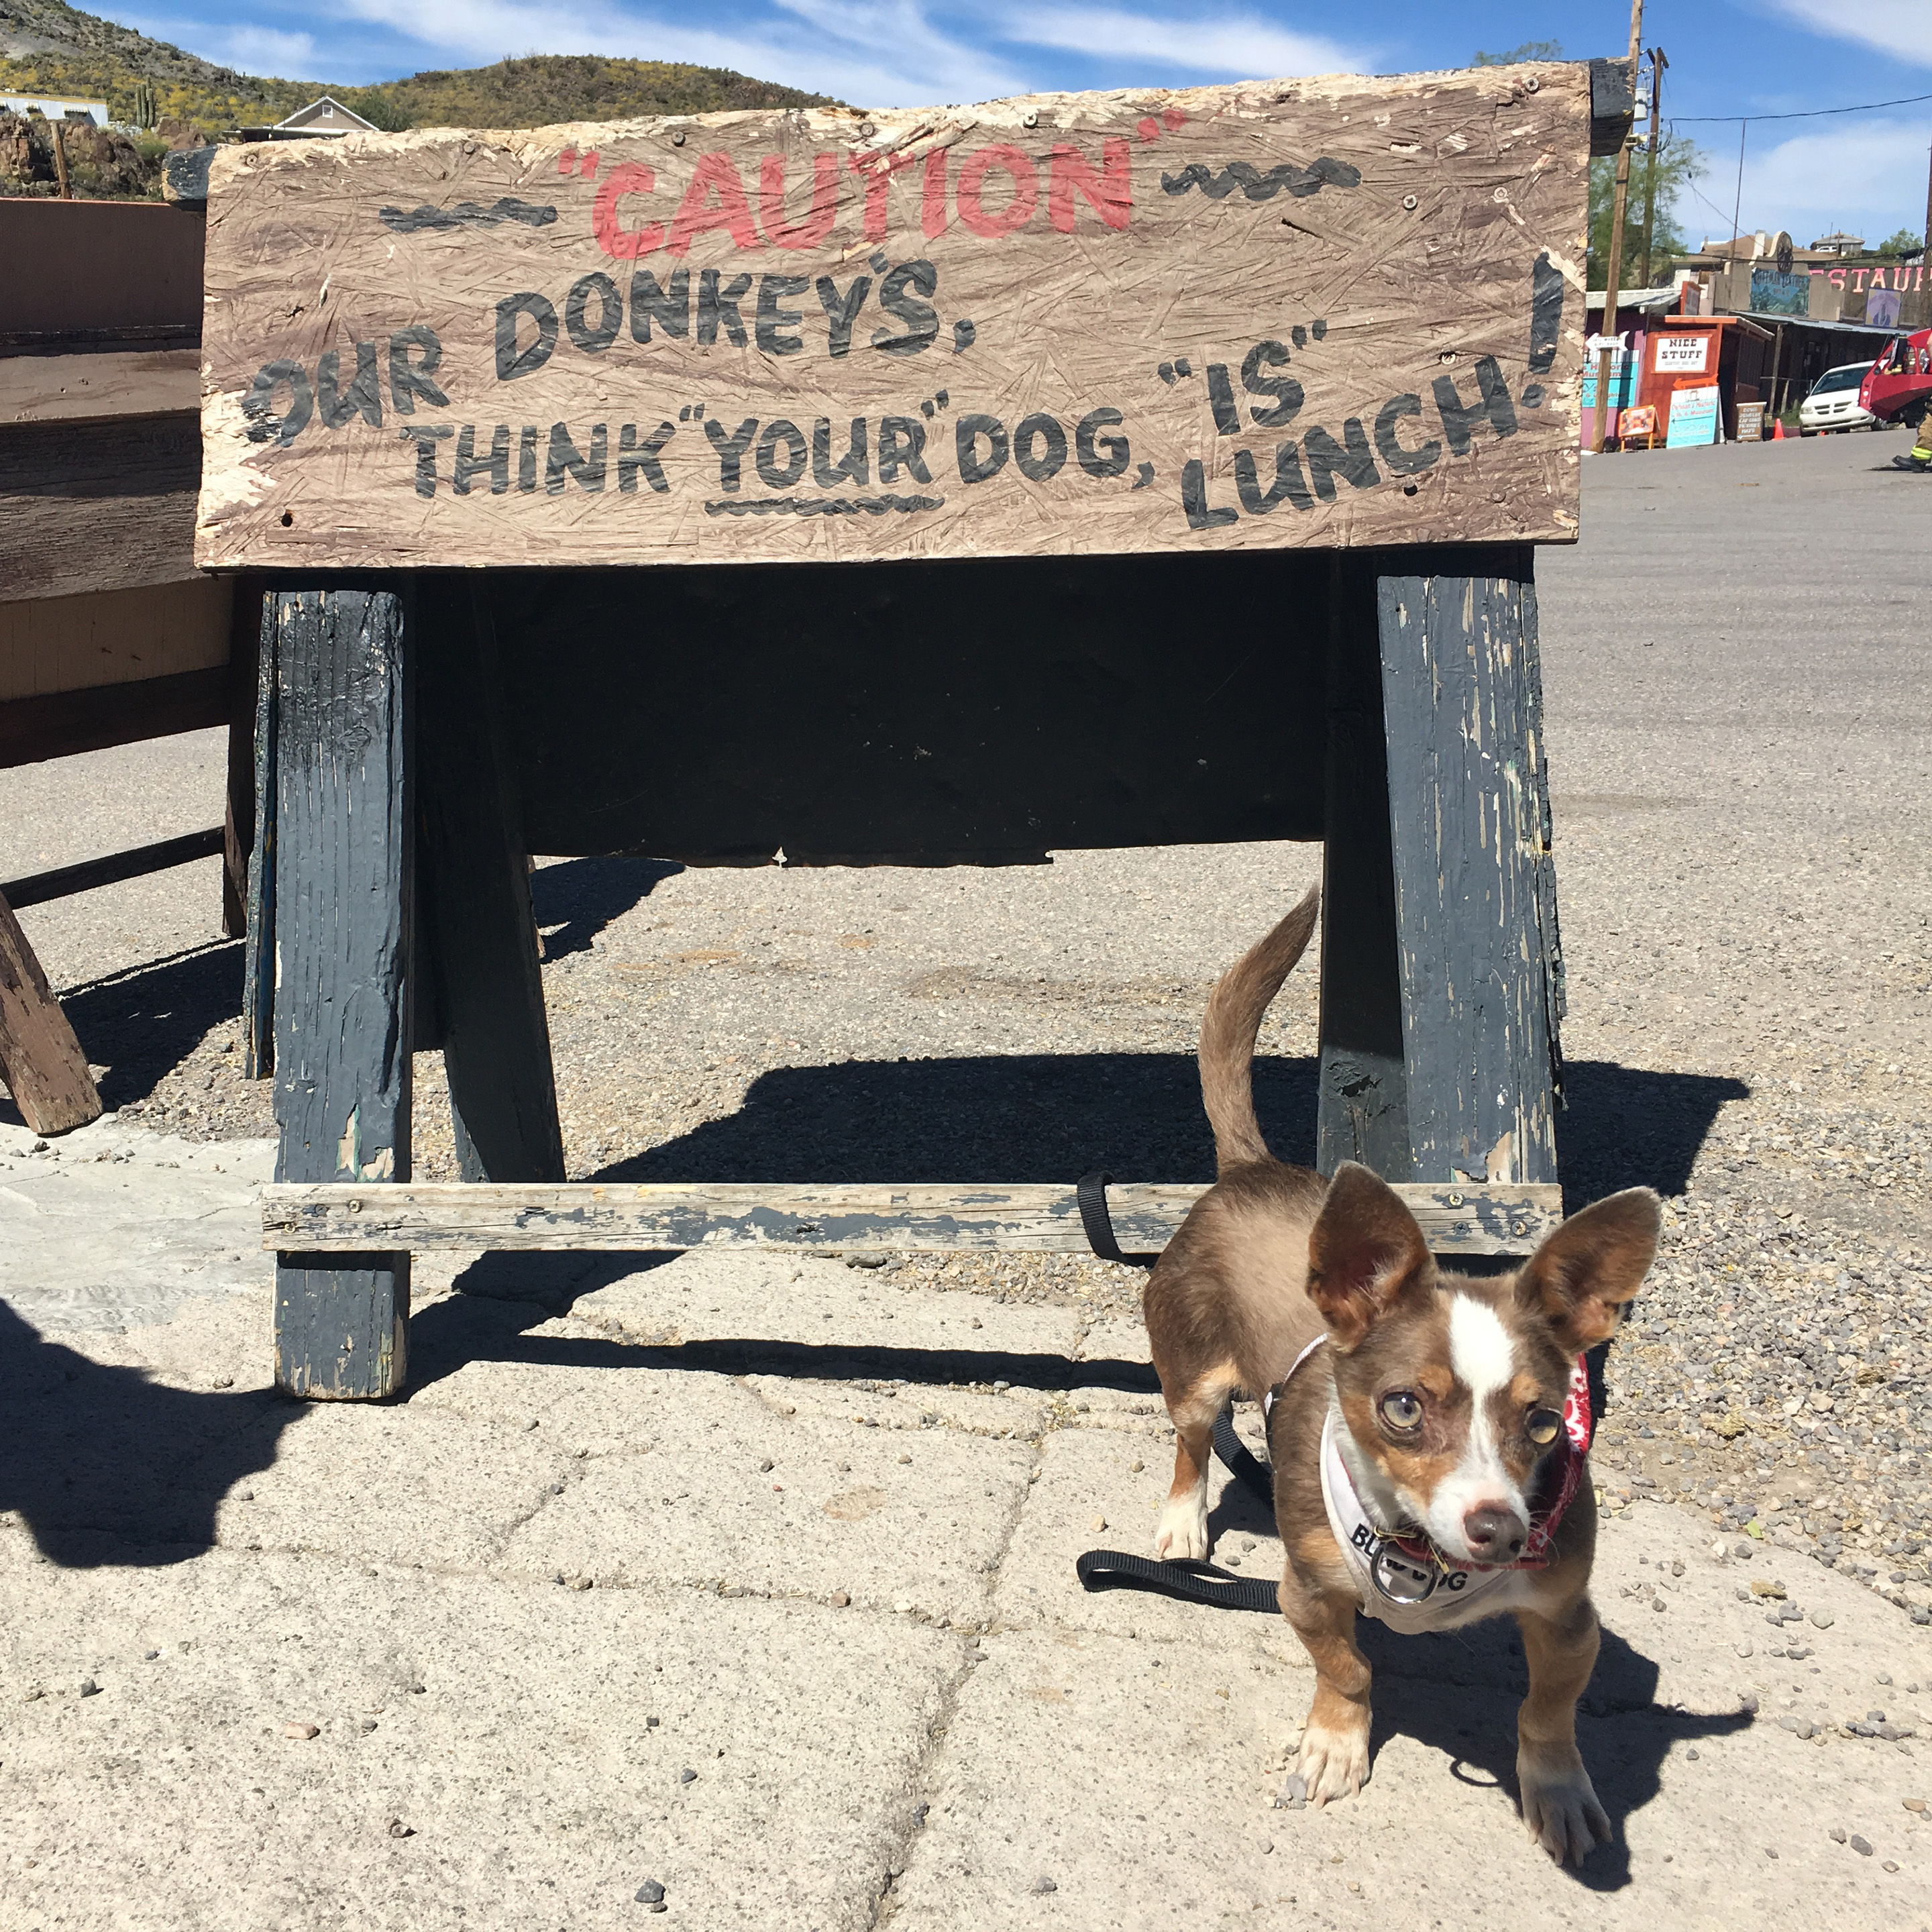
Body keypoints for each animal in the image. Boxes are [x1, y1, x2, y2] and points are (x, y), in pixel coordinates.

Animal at [1143, 885, 1661, 1854]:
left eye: (1545, 1420)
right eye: (1403, 1408)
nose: (1500, 1528)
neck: (1422, 1559)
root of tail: (1251, 1168)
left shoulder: (1568, 1619)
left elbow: (1547, 1712)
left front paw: (1557, 1789)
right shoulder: (1305, 1593)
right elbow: (1346, 1669)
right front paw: (1335, 1746)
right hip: (1191, 1377)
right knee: (1192, 1443)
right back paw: (1182, 1524)